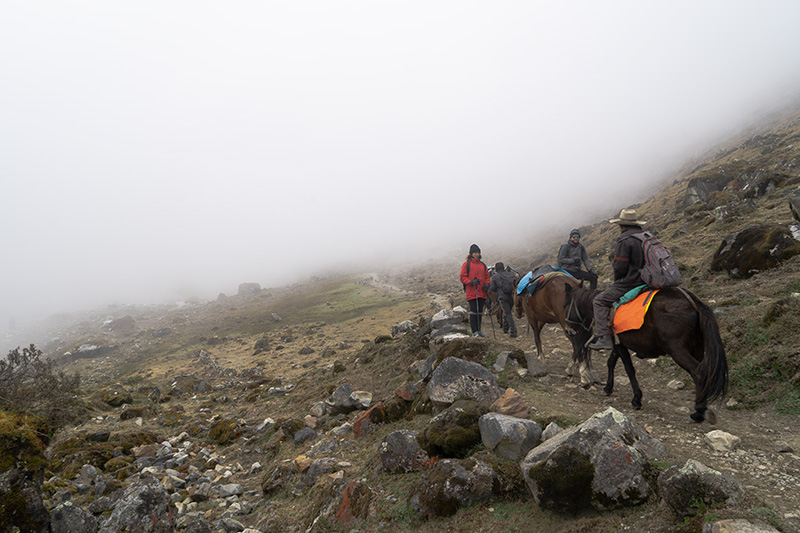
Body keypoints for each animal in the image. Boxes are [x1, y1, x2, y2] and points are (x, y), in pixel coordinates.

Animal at [564, 284, 728, 422]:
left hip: (677, 350)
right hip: (697, 349)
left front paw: (636, 399)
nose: (568, 329)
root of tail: (693, 302)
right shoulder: (618, 344)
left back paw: (698, 411)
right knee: (704, 371)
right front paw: (608, 388)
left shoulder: (619, 345)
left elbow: (629, 369)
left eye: (565, 305)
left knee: (698, 372)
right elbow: (611, 362)